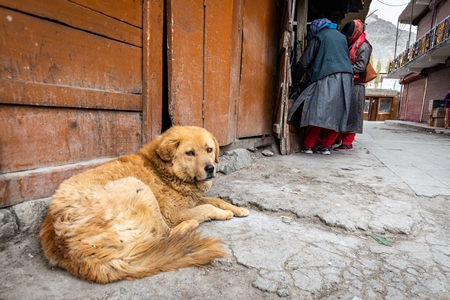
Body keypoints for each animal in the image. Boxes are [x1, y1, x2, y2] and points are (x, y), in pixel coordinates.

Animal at [38, 125, 250, 282]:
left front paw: (238, 208)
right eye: (190, 153)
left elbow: (215, 200)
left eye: (209, 150)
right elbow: (207, 207)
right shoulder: (175, 213)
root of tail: (67, 247)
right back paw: (190, 225)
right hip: (138, 187)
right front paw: (224, 214)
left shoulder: (191, 200)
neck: (165, 170)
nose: (210, 168)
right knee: (165, 234)